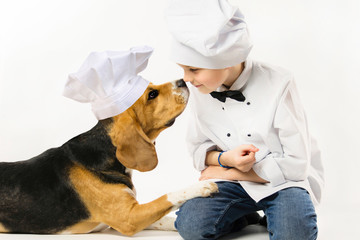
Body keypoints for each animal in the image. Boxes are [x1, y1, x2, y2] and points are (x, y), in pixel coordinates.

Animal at [0, 79, 218, 235]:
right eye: (152, 94)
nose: (182, 80)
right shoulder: (128, 218)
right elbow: (168, 196)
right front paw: (201, 186)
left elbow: (169, 220)